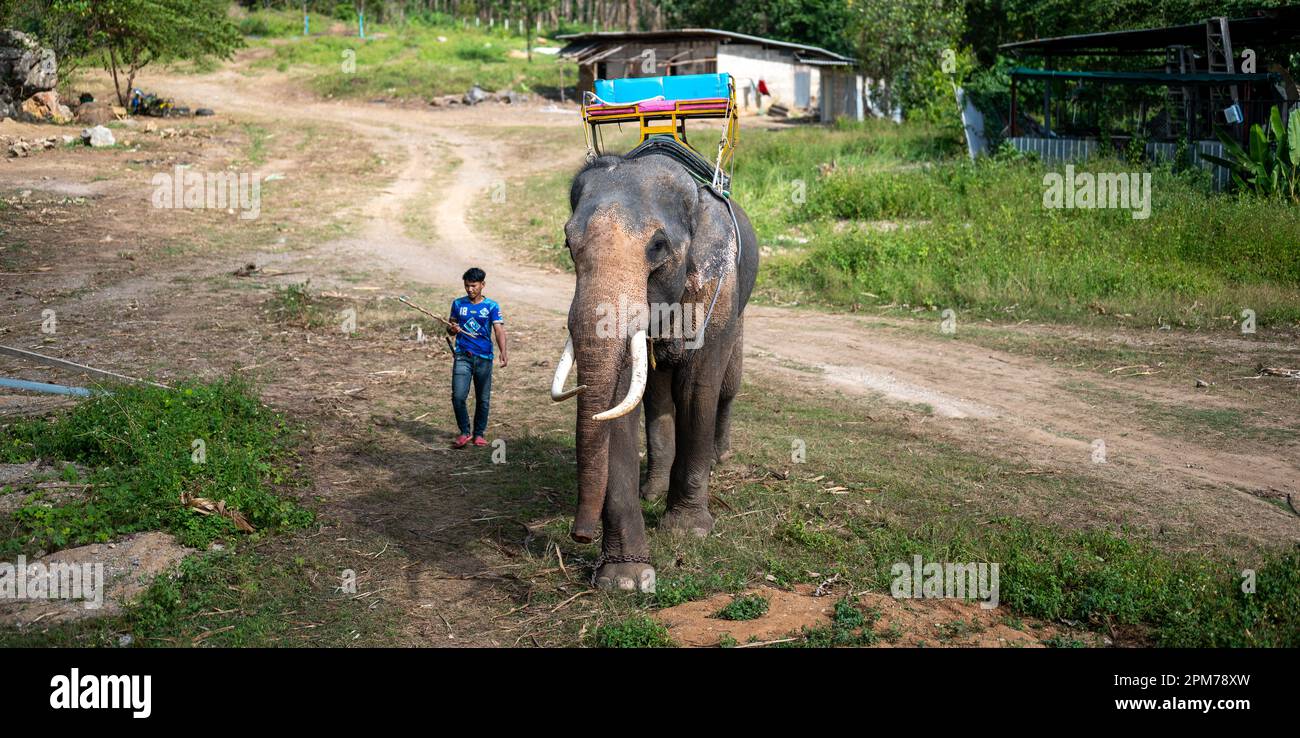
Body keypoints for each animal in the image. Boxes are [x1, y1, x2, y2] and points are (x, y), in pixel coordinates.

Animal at [548, 151, 759, 593]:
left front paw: (687, 530)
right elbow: (618, 404)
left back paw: (720, 459)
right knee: (658, 395)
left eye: (658, 246)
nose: (580, 535)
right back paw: (653, 490)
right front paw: (625, 579)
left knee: (727, 387)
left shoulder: (717, 285)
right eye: (568, 243)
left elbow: (699, 388)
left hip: (740, 312)